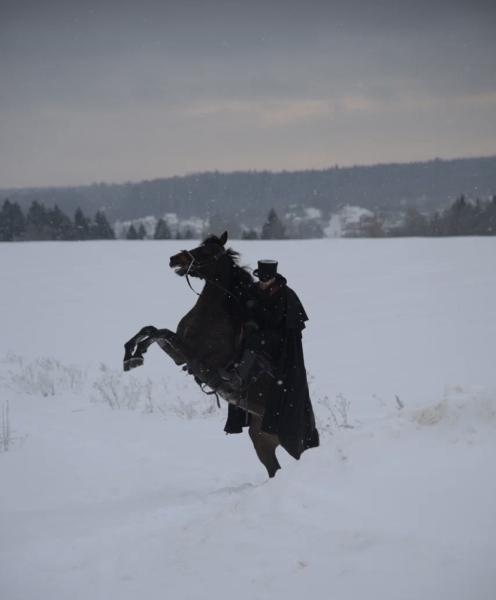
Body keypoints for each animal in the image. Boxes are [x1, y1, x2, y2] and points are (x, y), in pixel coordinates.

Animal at [123, 231, 282, 478]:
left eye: (208, 252)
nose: (175, 259)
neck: (211, 316)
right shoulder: (179, 355)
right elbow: (152, 330)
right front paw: (132, 355)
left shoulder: (198, 360)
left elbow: (160, 332)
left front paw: (135, 355)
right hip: (260, 438)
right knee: (273, 467)